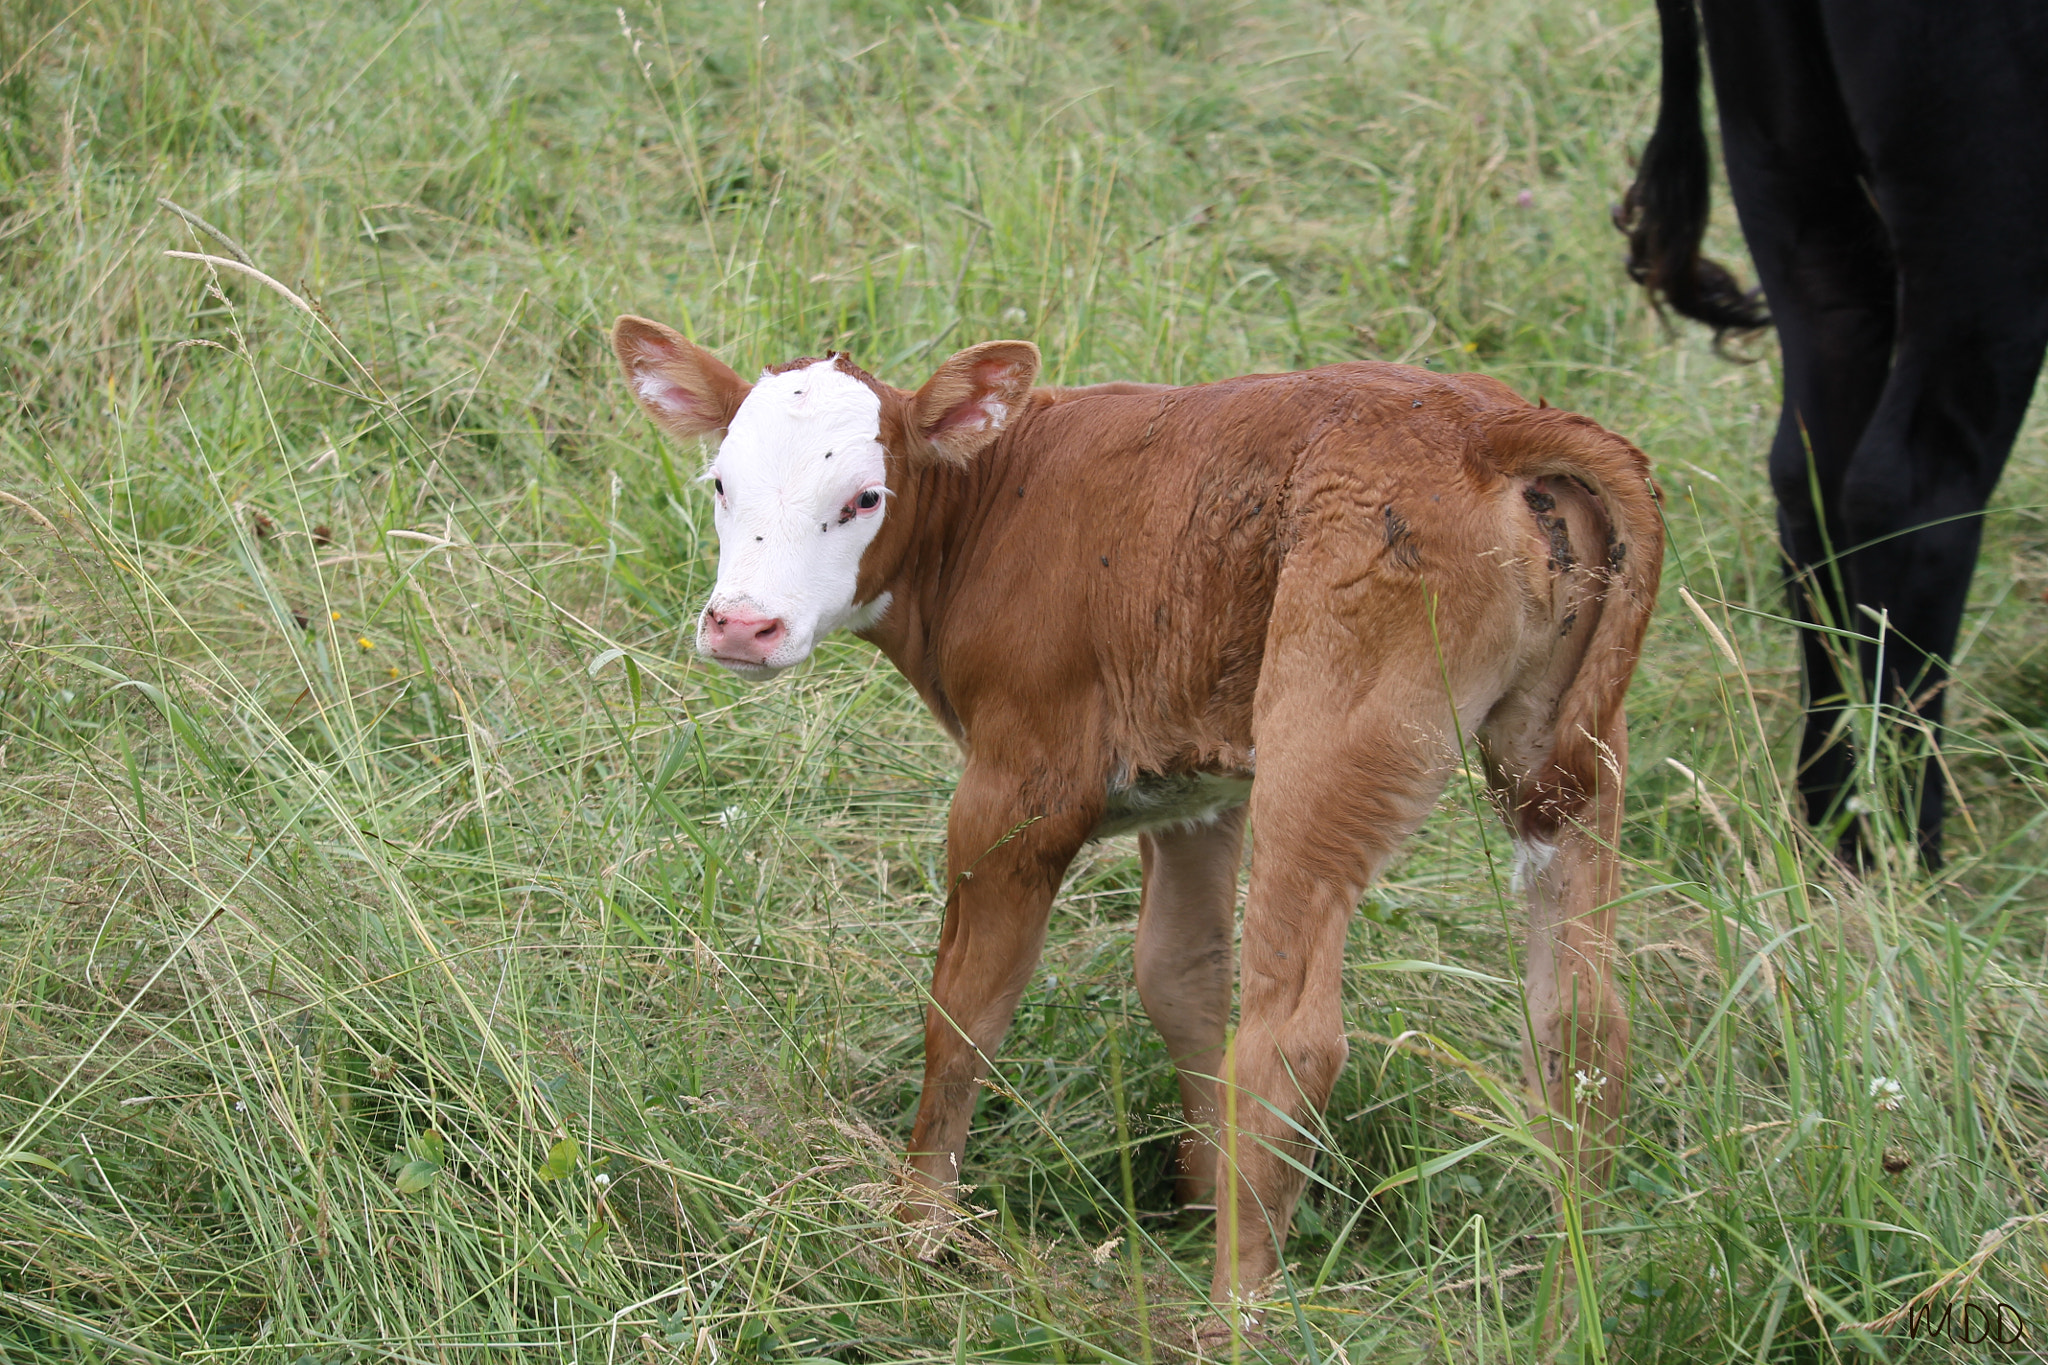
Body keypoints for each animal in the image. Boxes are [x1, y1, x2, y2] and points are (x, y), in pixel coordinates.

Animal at [611, 316, 1663, 1335]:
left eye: (865, 497)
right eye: (720, 482)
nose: (742, 626)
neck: (994, 504)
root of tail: (1483, 421)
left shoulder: (1021, 787)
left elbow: (965, 1010)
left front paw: (915, 1234)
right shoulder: (1193, 790)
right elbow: (1180, 976)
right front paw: (1203, 1194)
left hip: (1329, 749)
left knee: (1294, 1041)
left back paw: (1232, 1318)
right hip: (1569, 757)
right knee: (1582, 1026)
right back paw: (1569, 1305)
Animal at [1616, 0, 2048, 866]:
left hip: (1788, 169)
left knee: (1810, 473)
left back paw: (1830, 823)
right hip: (1989, 187)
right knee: (1910, 489)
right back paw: (1901, 852)